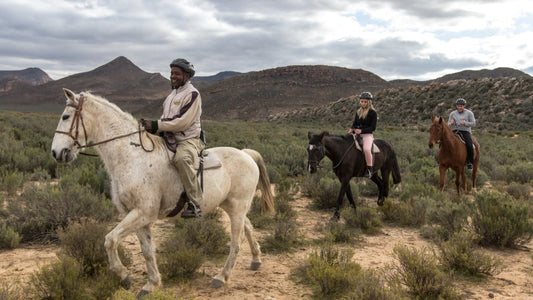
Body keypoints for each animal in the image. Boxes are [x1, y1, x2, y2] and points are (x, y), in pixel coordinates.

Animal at [50, 88, 274, 296]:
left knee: (236, 241)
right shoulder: (138, 216)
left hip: (237, 207)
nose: (56, 153)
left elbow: (110, 240)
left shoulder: (142, 213)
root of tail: (246, 154)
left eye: (66, 116)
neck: (133, 157)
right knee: (248, 227)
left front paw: (124, 275)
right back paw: (256, 260)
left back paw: (221, 276)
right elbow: (147, 250)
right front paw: (152, 284)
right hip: (231, 206)